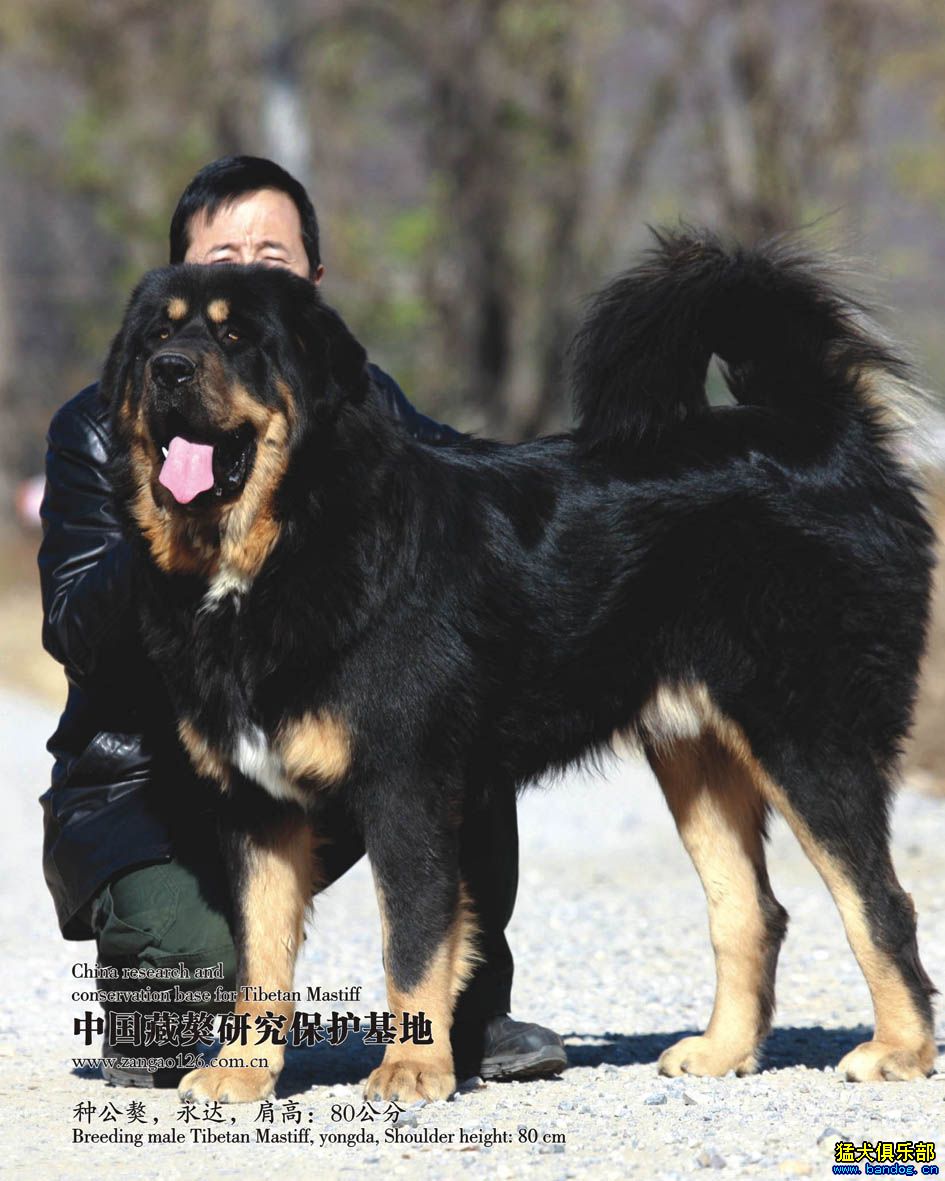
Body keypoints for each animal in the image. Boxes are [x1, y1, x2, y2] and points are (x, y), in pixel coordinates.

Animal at [101, 230, 935, 1105]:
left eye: (235, 337)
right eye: (158, 336)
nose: (170, 371)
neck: (285, 542)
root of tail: (822, 432)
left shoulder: (405, 787)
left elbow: (411, 940)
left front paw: (410, 1069)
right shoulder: (255, 804)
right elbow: (260, 956)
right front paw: (242, 1071)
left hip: (807, 736)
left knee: (880, 901)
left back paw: (898, 1051)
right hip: (694, 750)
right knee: (750, 909)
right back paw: (720, 1050)